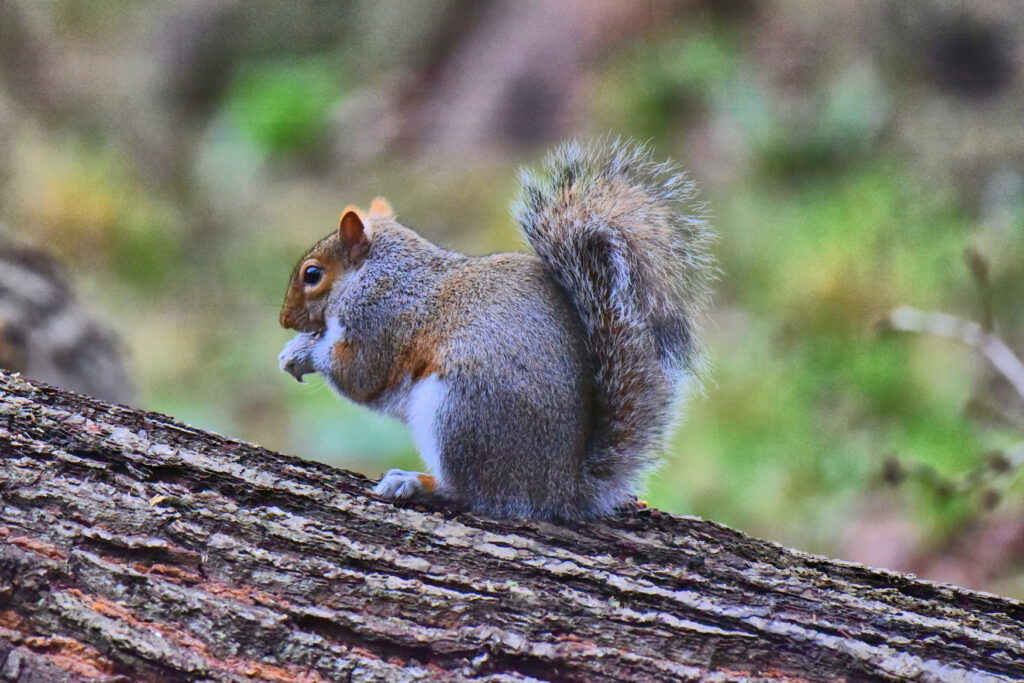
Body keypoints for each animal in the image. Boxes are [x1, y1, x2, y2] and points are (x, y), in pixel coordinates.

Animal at [278, 140, 715, 521]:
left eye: (312, 274)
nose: (284, 320)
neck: (379, 270)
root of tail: (557, 489)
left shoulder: (379, 317)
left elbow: (358, 375)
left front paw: (303, 352)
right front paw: (295, 345)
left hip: (459, 413)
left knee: (470, 491)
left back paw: (416, 482)